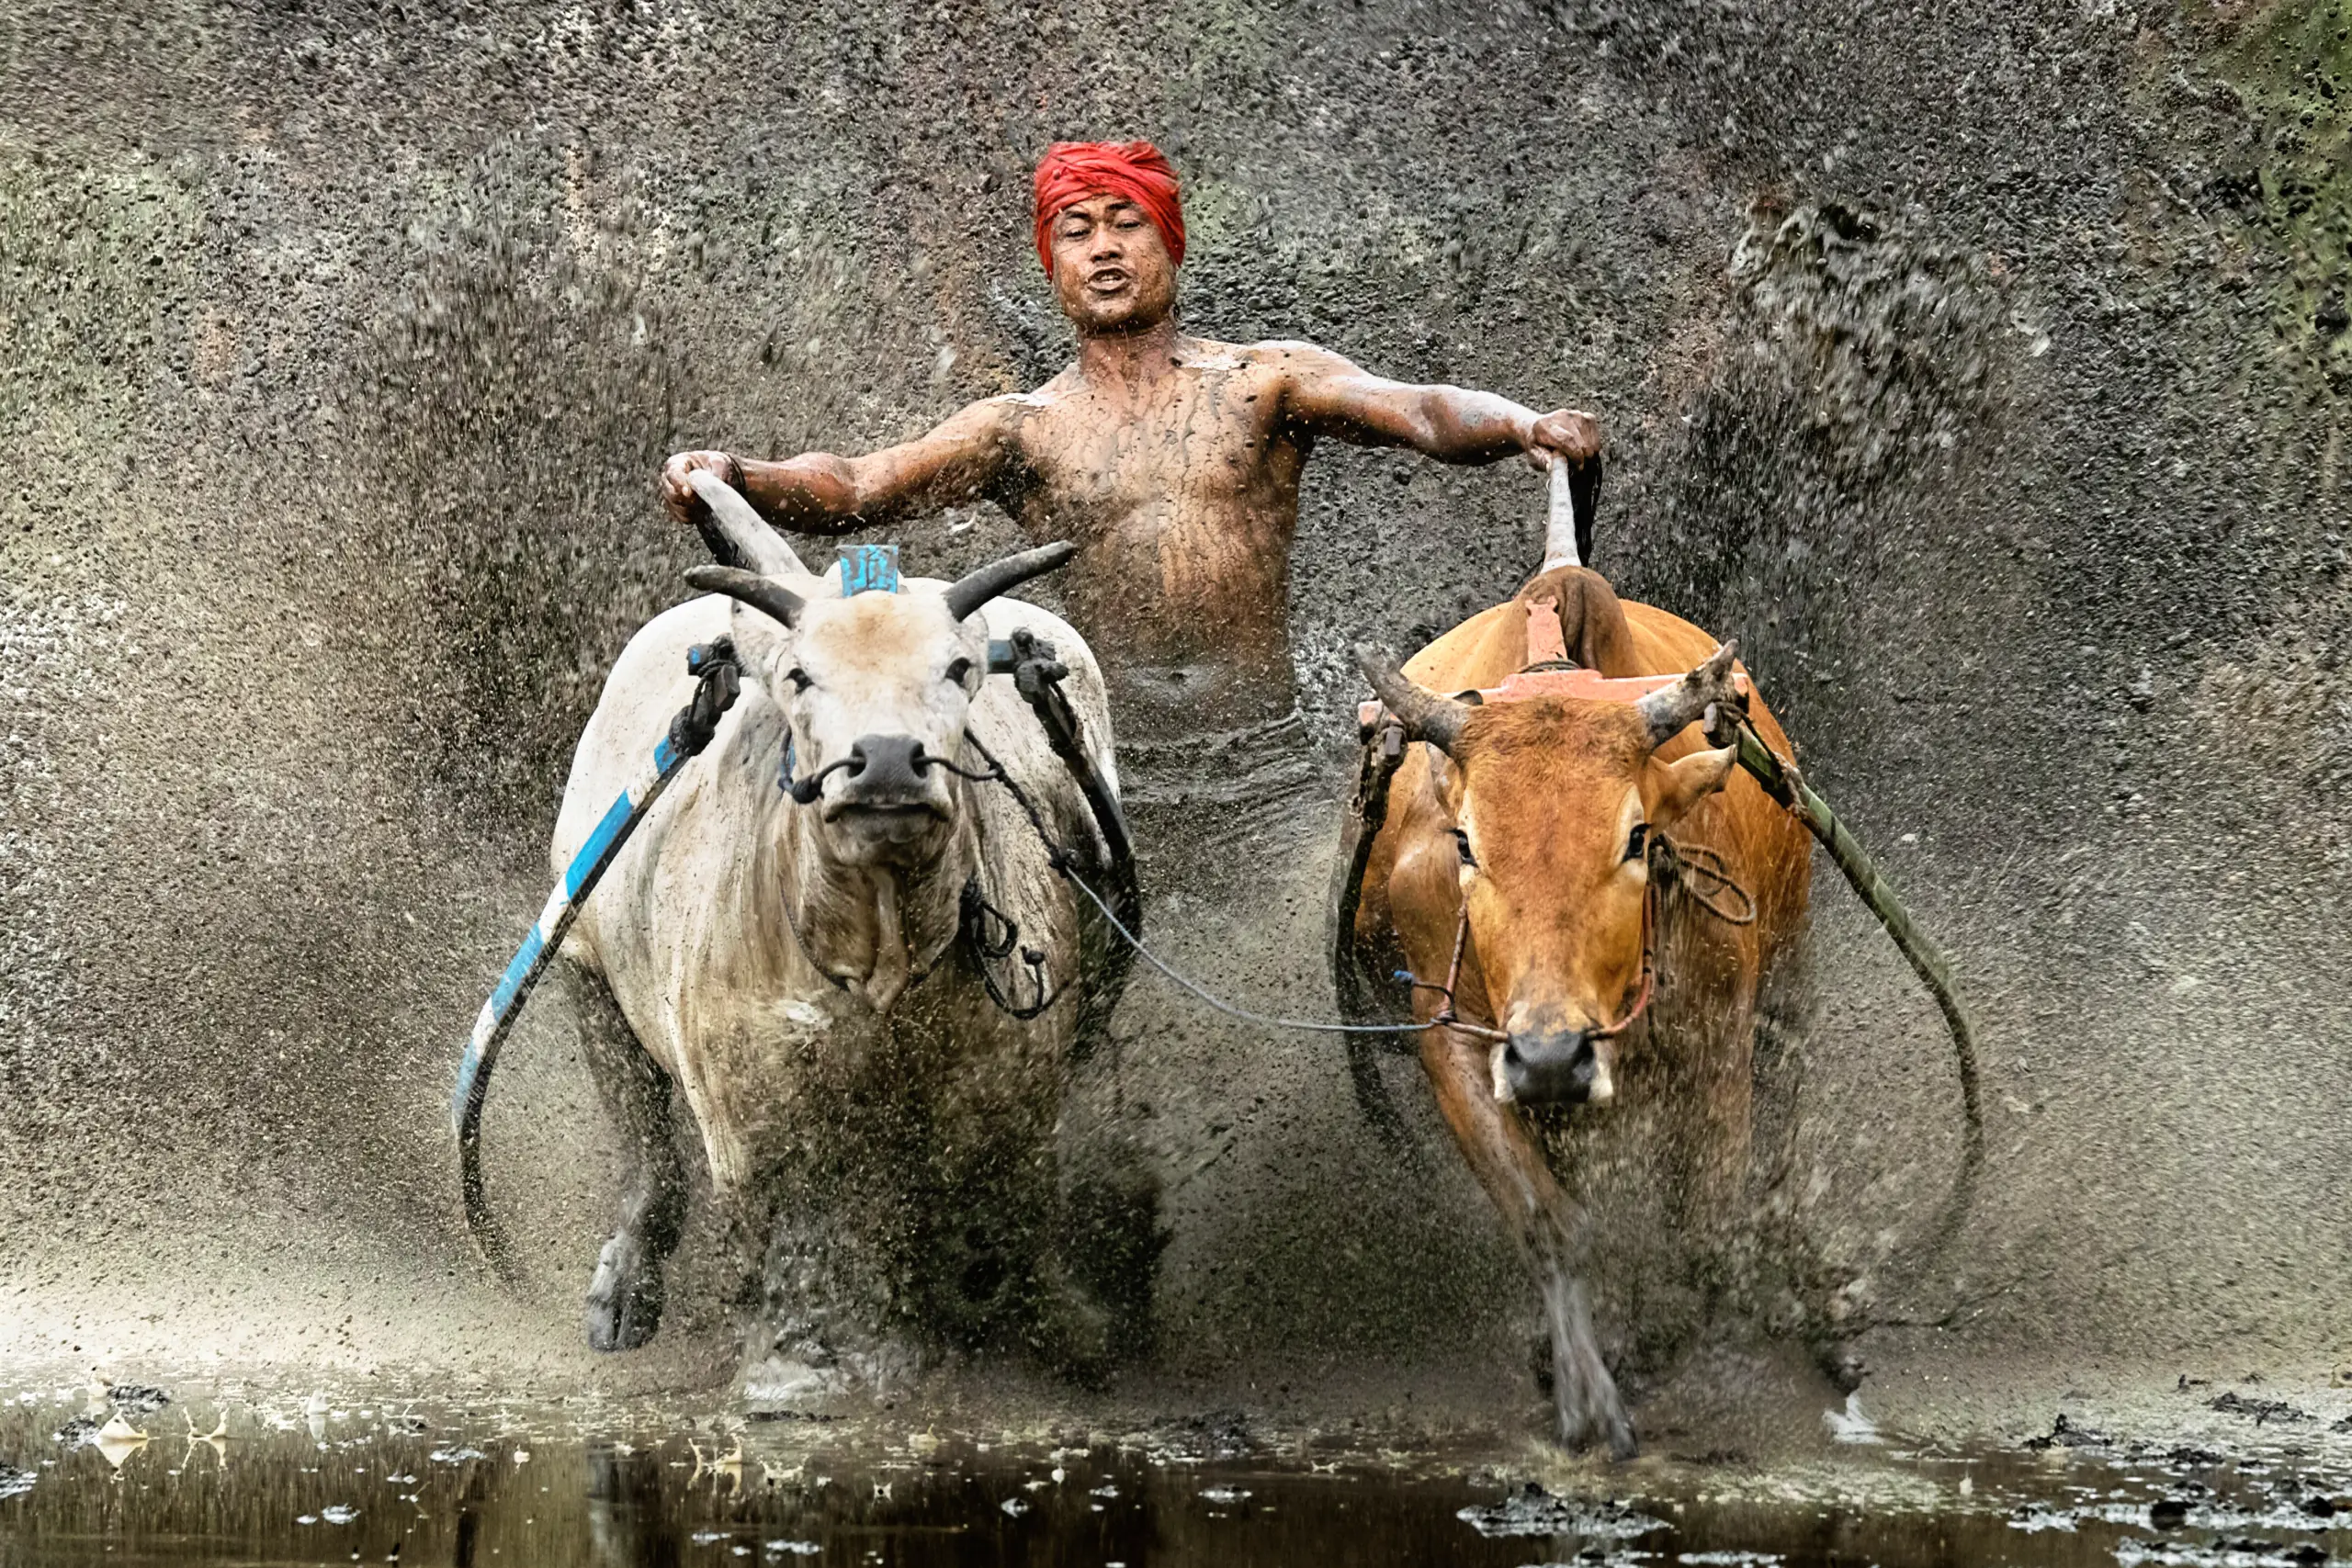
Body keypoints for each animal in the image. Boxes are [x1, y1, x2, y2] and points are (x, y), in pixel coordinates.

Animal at [537, 494, 1146, 1402]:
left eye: (959, 668)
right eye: (800, 676)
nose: (887, 761)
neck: (880, 953)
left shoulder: (1013, 1094)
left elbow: (1009, 1214)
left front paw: (1063, 1327)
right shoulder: (747, 1117)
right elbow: (791, 1244)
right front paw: (793, 1366)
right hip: (586, 968)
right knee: (650, 1158)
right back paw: (627, 1286)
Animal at [1338, 564, 1814, 1458]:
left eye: (1637, 836)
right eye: (1466, 842)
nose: (1553, 1055)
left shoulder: (1718, 1045)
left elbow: (1699, 1243)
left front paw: (1645, 1346)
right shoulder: (1459, 1047)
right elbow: (1550, 1221)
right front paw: (1586, 1394)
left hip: (1789, 983)